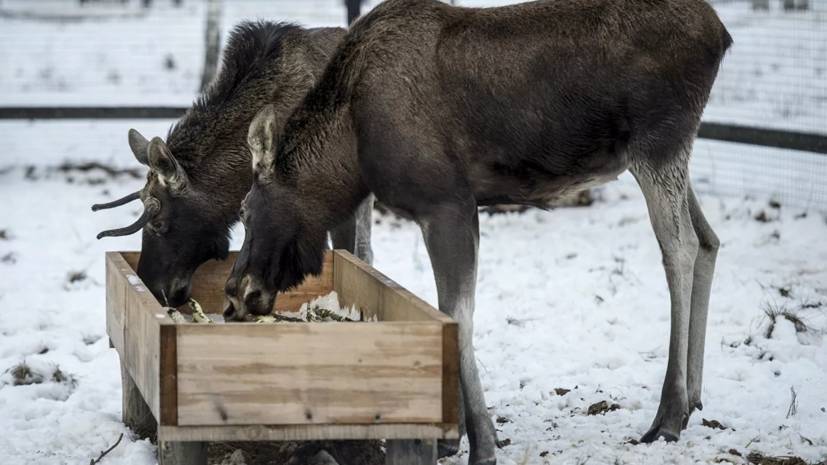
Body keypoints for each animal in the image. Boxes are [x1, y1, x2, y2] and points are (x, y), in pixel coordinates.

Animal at [225, 1, 732, 462]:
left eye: (246, 209)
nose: (235, 293)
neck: (351, 150)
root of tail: (721, 34)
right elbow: (446, 310)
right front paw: (455, 436)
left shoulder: (447, 204)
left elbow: (456, 313)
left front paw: (481, 443)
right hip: (669, 152)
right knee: (709, 239)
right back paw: (694, 399)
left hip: (658, 143)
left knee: (681, 247)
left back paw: (668, 415)